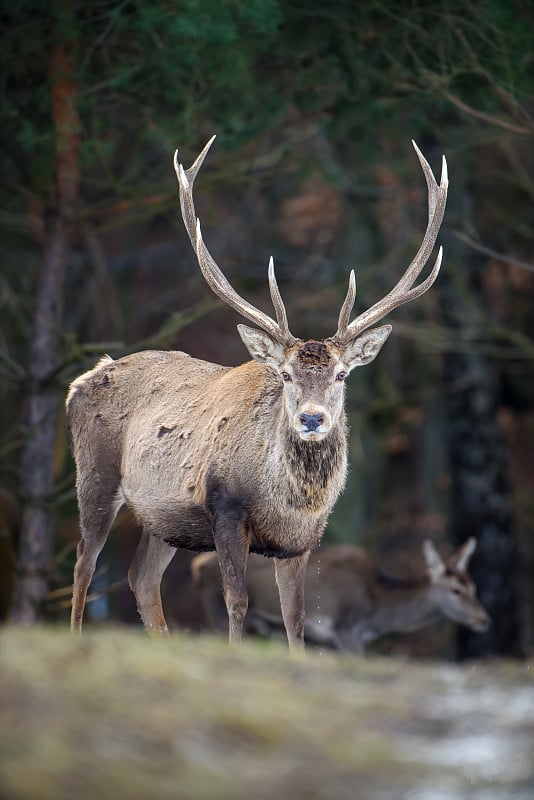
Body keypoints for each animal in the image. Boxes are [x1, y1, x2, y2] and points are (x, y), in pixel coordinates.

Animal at [192, 536, 490, 648]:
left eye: (474, 586)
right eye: (455, 590)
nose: (484, 618)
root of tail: (197, 567)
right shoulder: (347, 631)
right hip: (216, 611)